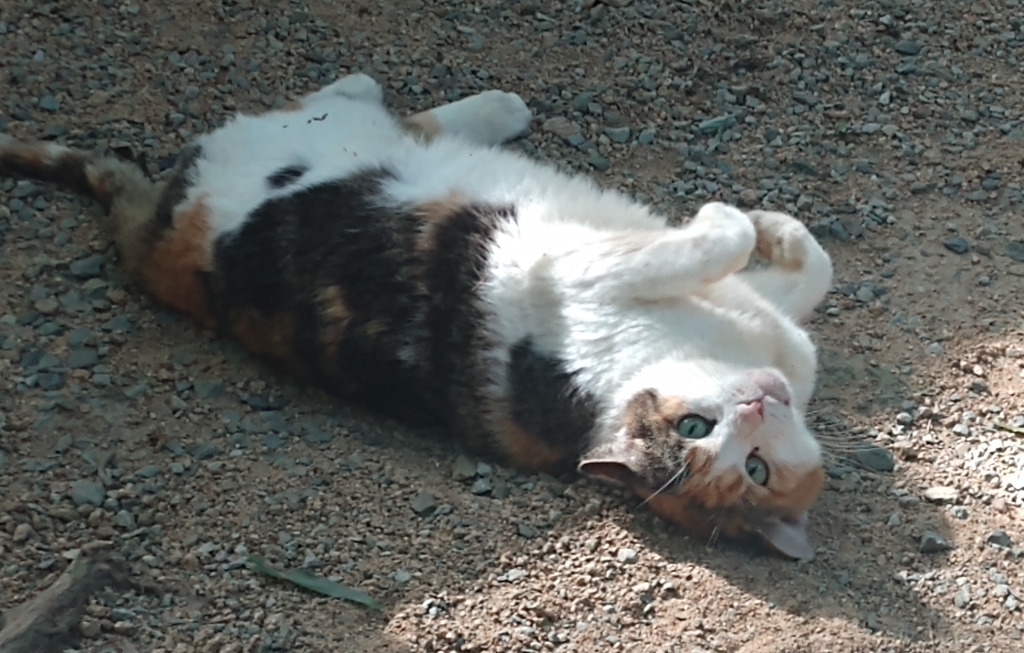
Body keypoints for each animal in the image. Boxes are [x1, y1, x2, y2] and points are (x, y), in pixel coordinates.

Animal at [0, 74, 831, 560]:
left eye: (754, 468)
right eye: (694, 428)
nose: (758, 404)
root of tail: (148, 237)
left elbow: (767, 258)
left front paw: (760, 228)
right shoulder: (584, 270)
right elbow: (752, 246)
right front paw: (767, 224)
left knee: (354, 107)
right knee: (365, 107)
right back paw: (490, 110)